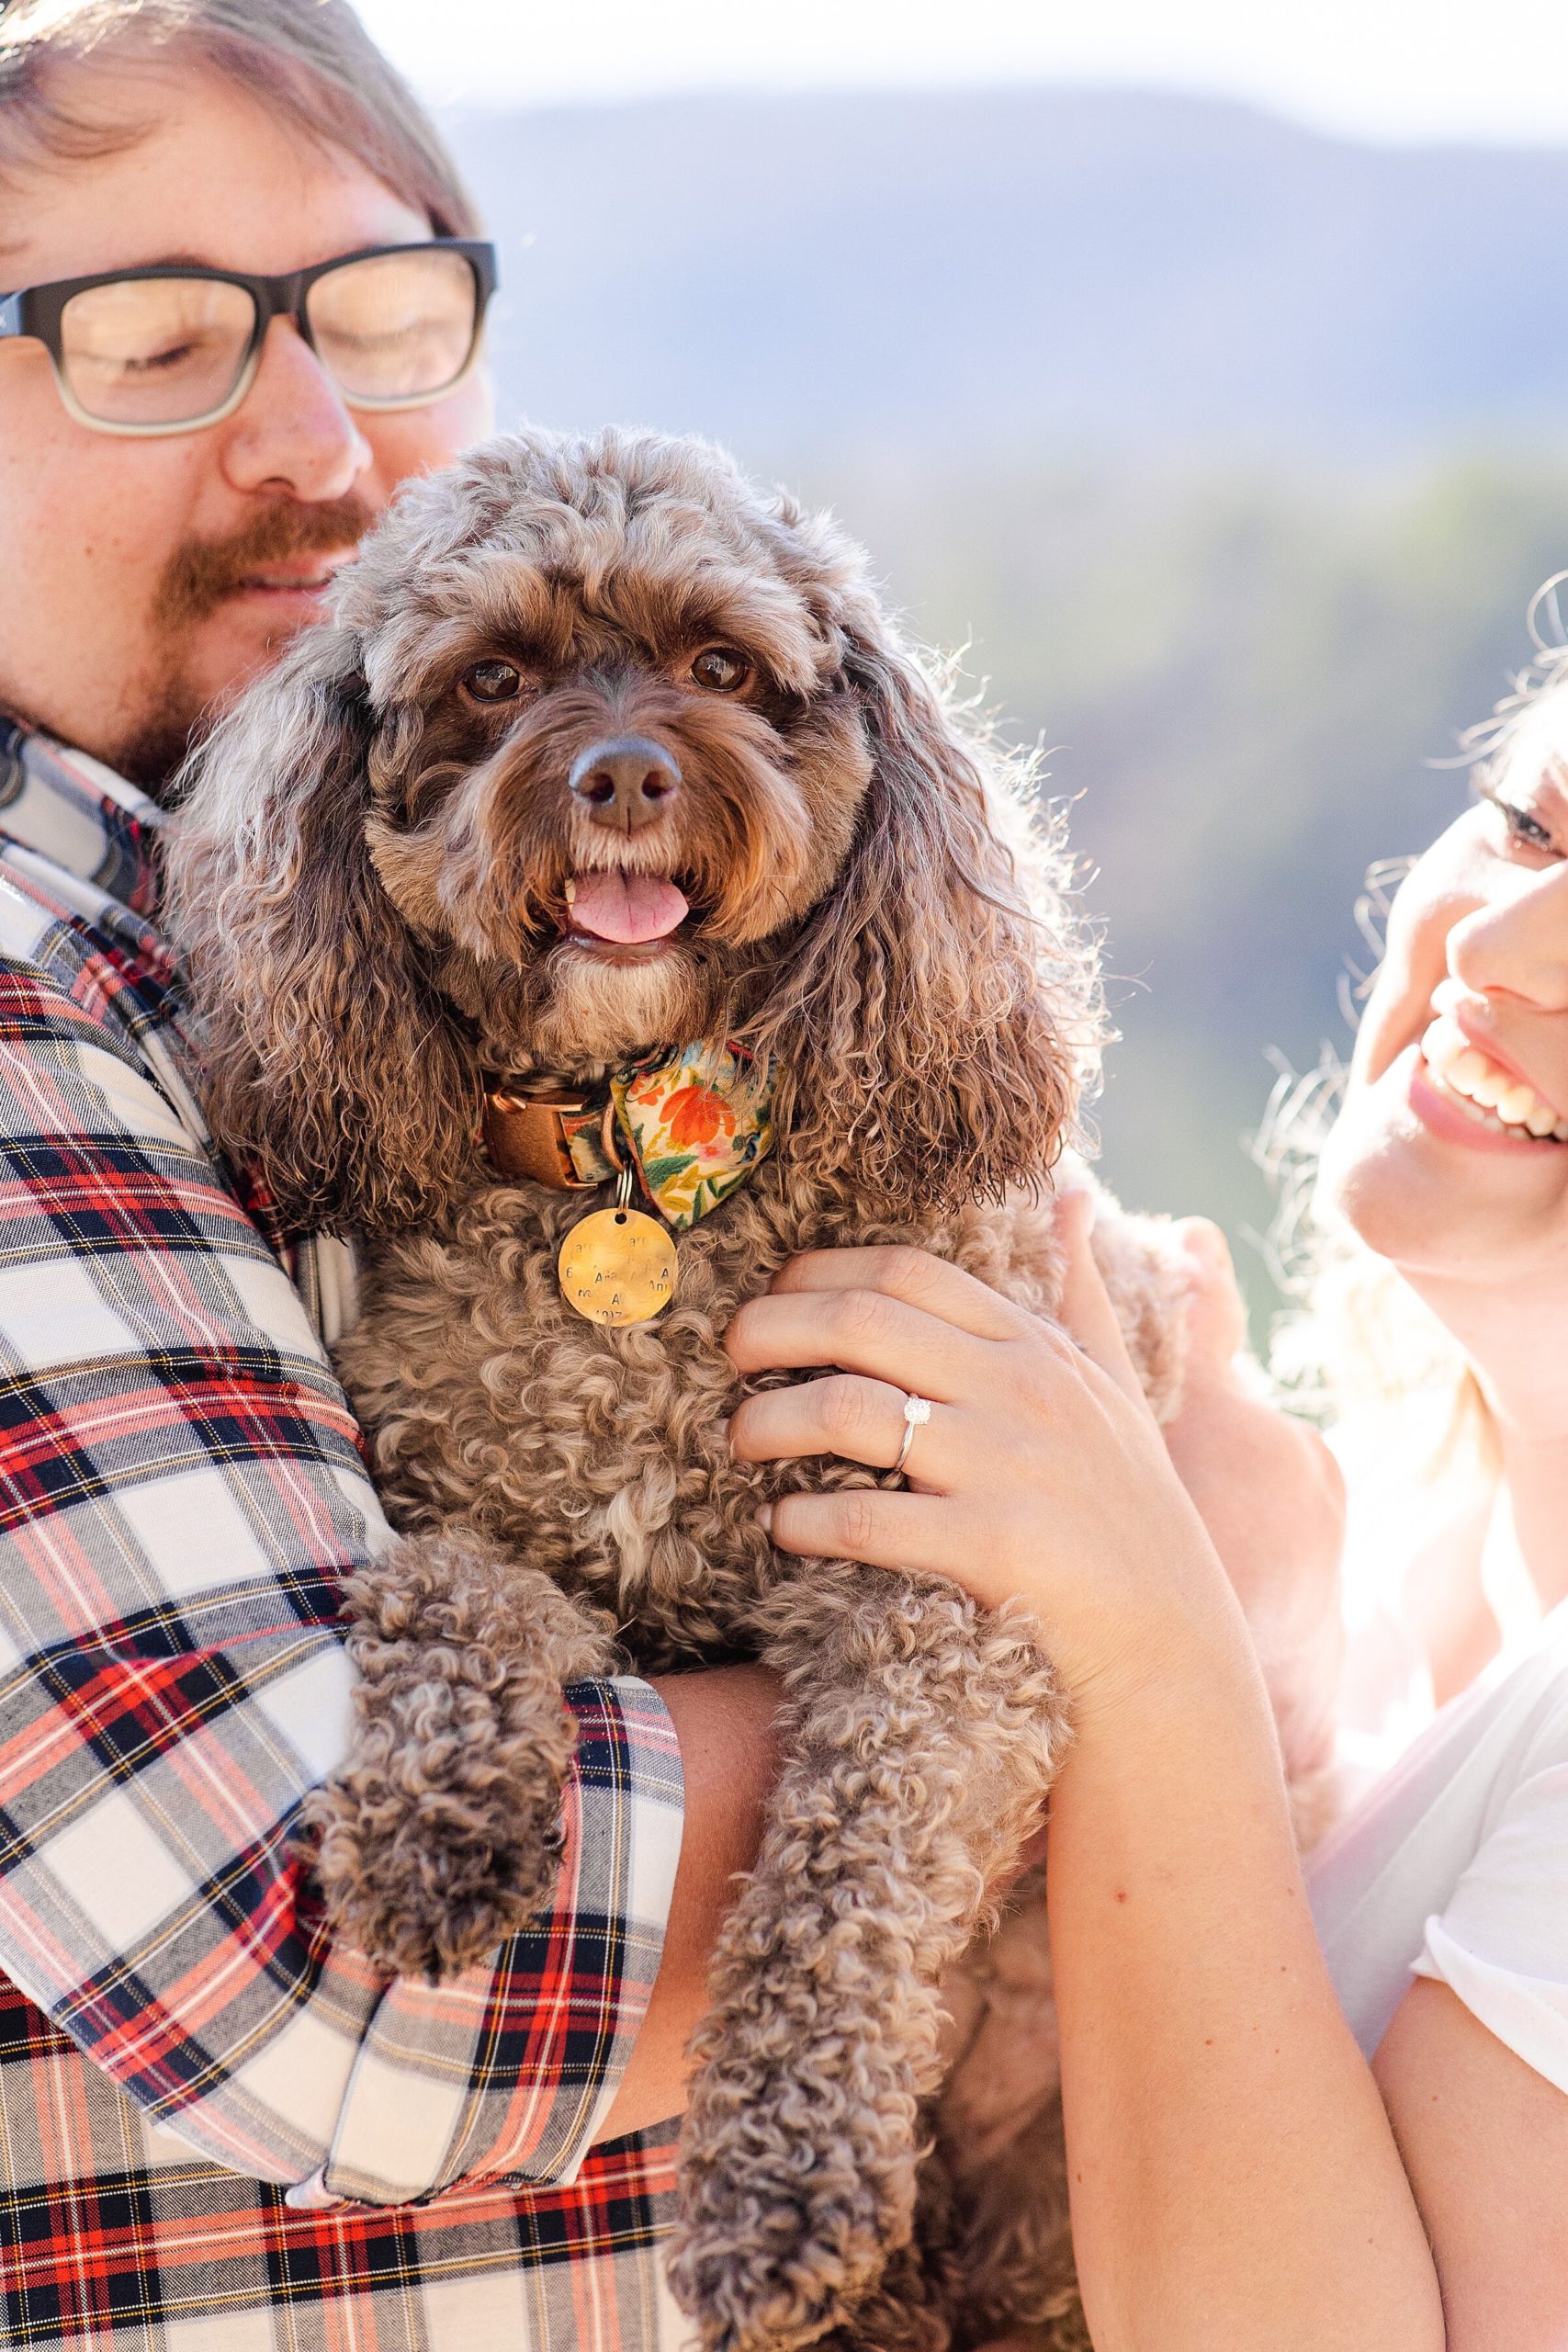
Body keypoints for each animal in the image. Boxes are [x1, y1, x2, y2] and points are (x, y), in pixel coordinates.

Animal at [165, 427, 1189, 2352]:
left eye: (723, 663)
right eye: (493, 680)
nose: (627, 771)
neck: (631, 1156)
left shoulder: (948, 1605)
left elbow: (848, 1876)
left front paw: (781, 2184)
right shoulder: (463, 1507)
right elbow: (458, 1603)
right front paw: (438, 1829)